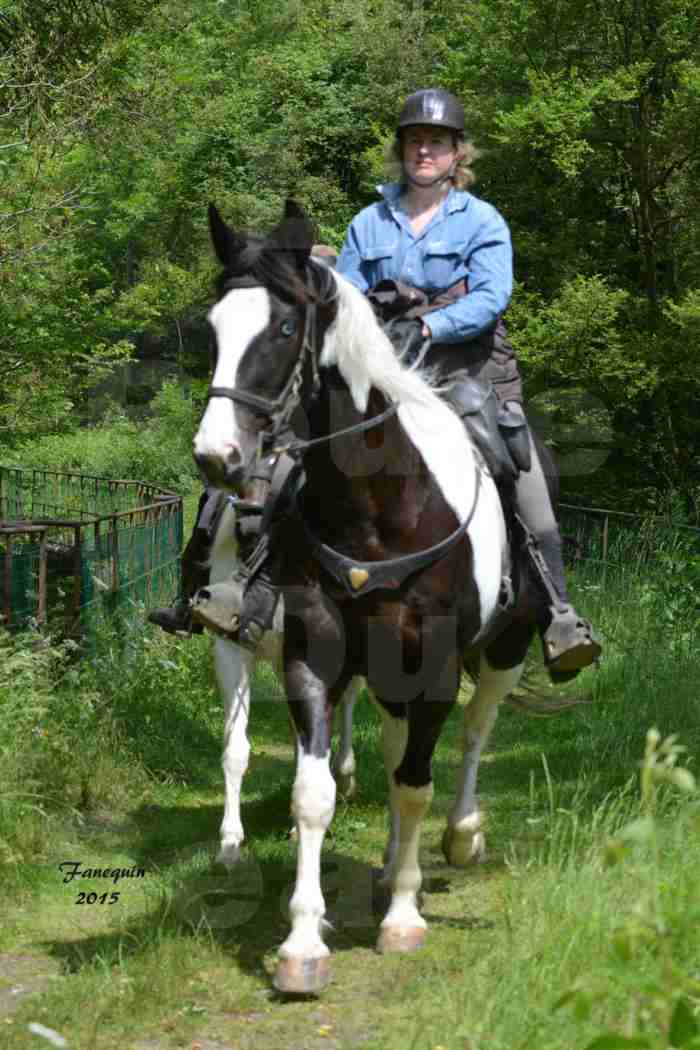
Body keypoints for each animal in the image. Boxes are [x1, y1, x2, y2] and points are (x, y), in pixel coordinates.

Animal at [194, 200, 545, 995]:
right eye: (213, 328)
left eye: (283, 329)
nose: (218, 457)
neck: (380, 509)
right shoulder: (316, 655)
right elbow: (314, 791)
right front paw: (301, 942)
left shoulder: (438, 662)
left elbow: (417, 782)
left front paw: (404, 918)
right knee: (390, 746)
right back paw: (388, 862)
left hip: (504, 649)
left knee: (474, 733)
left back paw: (460, 836)